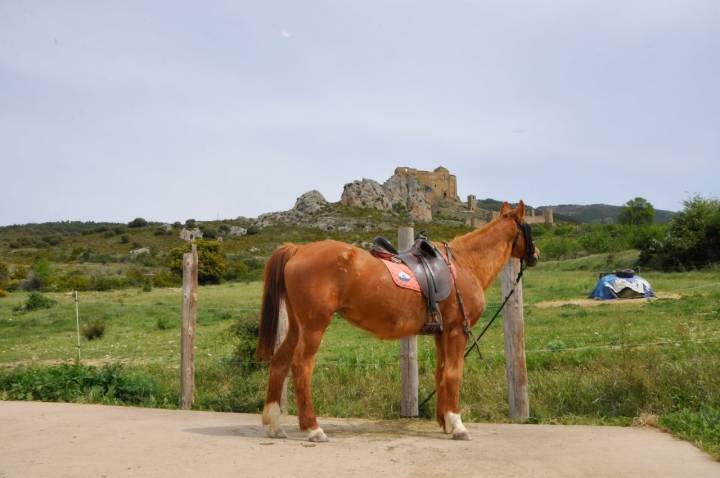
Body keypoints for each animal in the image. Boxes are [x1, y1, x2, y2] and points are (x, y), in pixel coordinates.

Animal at [256, 200, 536, 442]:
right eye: (529, 227)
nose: (536, 254)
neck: (463, 265)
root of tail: (298, 249)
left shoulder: (441, 334)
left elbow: (441, 373)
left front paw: (444, 421)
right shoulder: (457, 332)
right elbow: (453, 374)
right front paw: (457, 425)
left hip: (297, 326)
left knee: (279, 363)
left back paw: (275, 425)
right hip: (314, 327)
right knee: (301, 367)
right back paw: (313, 428)